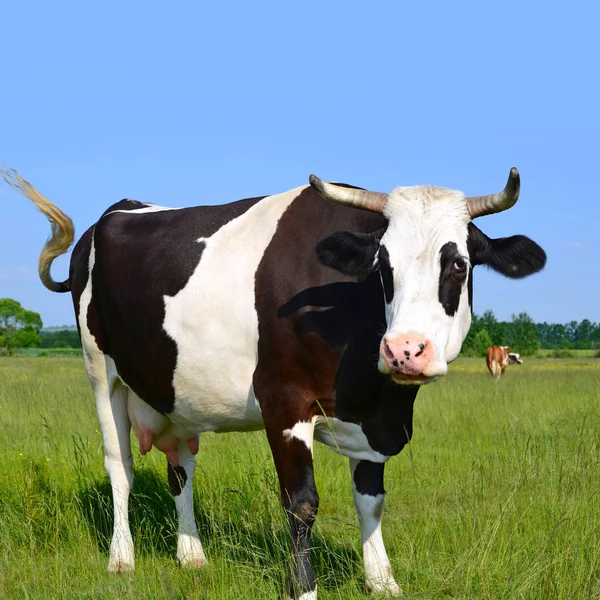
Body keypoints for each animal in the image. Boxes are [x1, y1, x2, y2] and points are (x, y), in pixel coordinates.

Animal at [4, 165, 548, 600]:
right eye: (383, 265)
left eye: (458, 264)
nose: (404, 352)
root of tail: (117, 210)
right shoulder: (284, 402)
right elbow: (302, 503)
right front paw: (304, 589)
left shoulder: (375, 419)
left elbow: (371, 501)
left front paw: (382, 581)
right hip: (101, 371)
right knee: (120, 467)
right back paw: (122, 558)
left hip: (174, 393)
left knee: (181, 470)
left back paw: (192, 554)